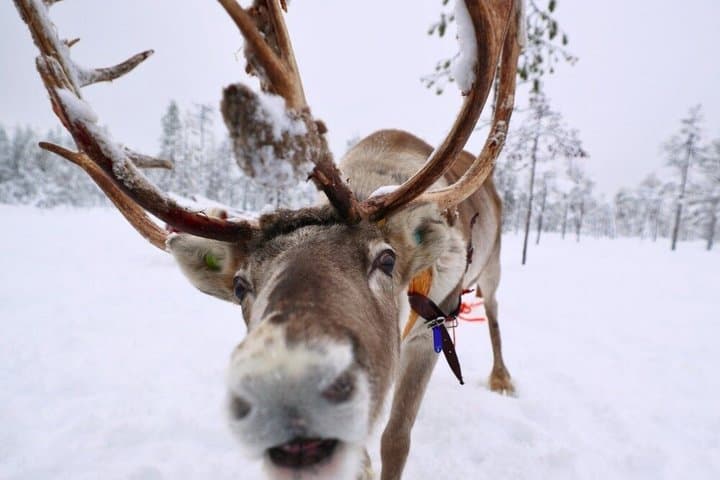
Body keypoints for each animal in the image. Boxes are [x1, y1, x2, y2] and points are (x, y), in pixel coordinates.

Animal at [14, 0, 522, 478]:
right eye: (241, 285)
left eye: (386, 260)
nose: (287, 389)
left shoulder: (430, 331)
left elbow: (396, 439)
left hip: (494, 268)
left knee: (496, 312)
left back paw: (502, 378)